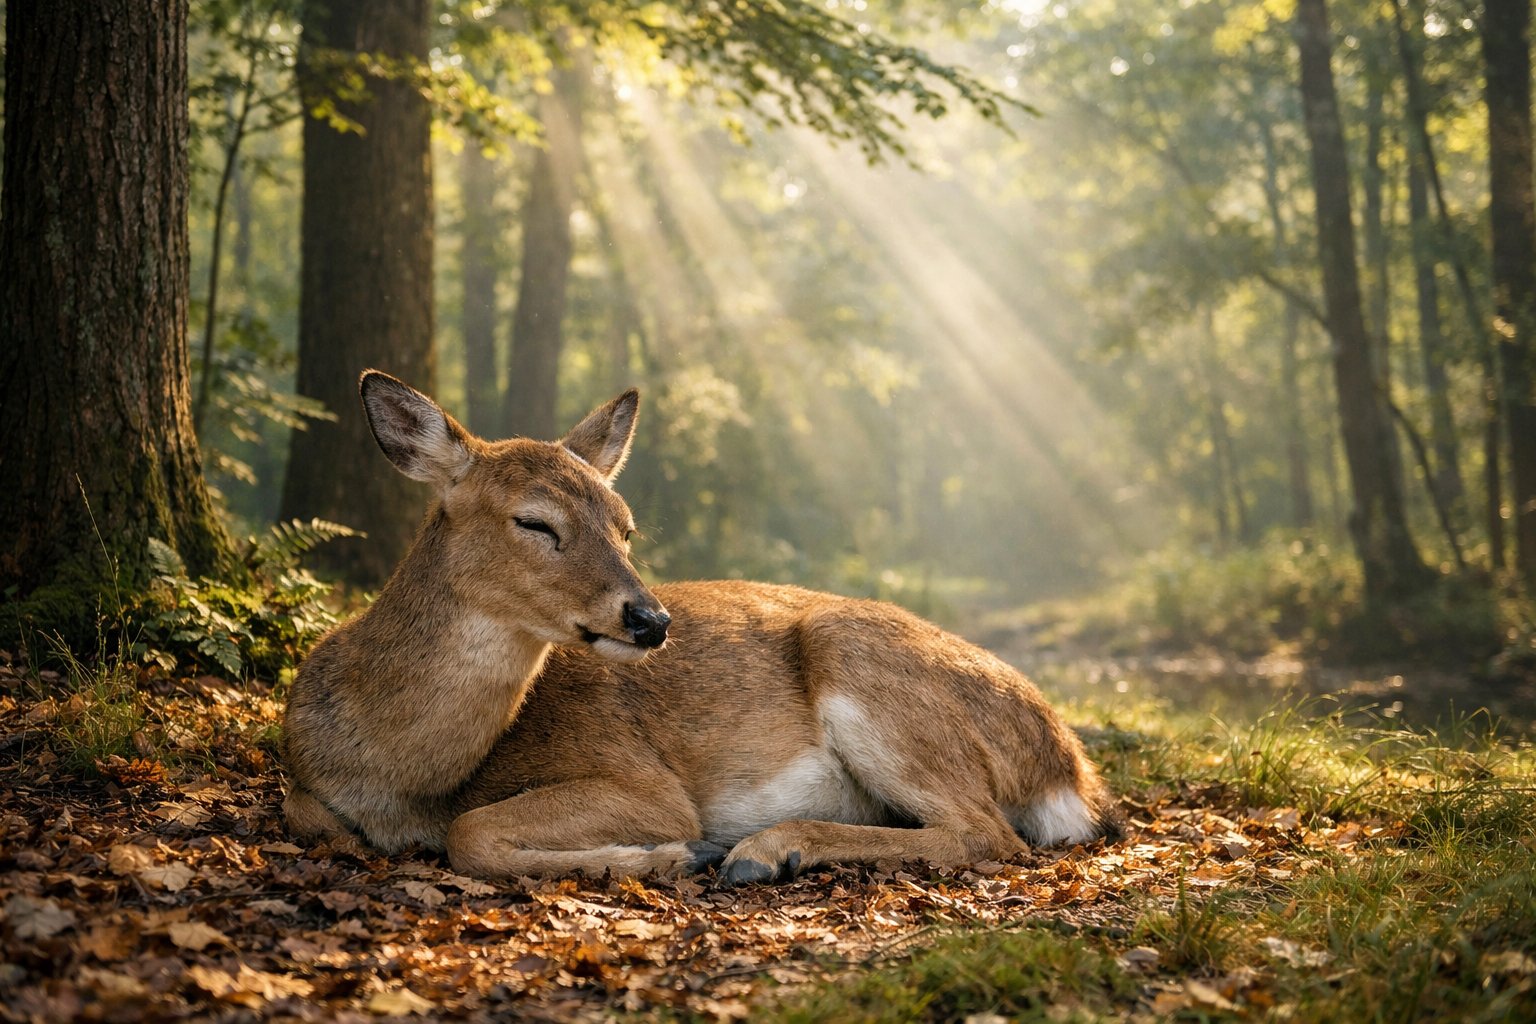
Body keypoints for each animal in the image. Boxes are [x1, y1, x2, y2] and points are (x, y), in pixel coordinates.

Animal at [282, 370, 1121, 884]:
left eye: (625, 527)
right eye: (534, 521)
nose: (651, 619)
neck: (401, 771)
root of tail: (1069, 766)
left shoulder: (640, 779)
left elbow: (472, 833)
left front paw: (665, 855)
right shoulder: (305, 782)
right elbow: (313, 816)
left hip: (866, 663)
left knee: (986, 833)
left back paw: (763, 850)